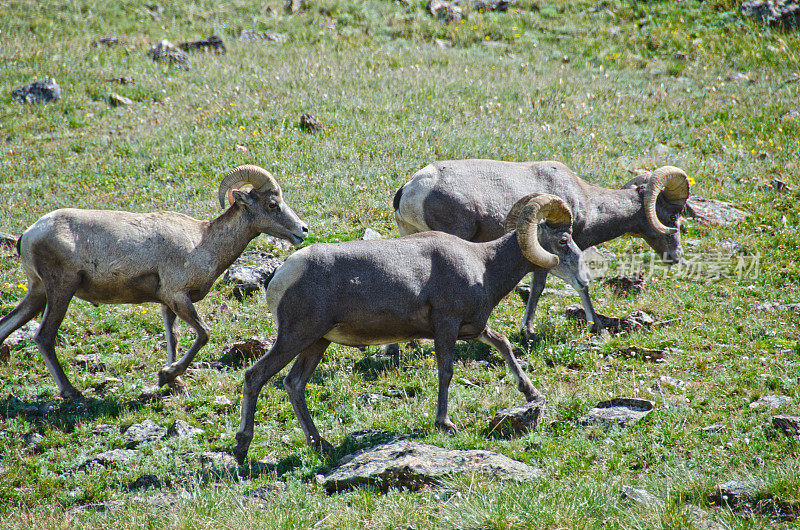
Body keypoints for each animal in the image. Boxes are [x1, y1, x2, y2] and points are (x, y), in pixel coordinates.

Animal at [0, 164, 308, 396]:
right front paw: (166, 376)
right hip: (60, 290)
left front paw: (174, 383)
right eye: (272, 204)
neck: (203, 242)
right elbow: (204, 334)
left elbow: (174, 338)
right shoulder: (177, 296)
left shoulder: (167, 304)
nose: (303, 230)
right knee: (44, 336)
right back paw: (71, 392)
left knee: (8, 327)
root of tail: (29, 234)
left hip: (38, 293)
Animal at [231, 192, 588, 460]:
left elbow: (502, 342)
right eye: (564, 239)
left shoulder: (472, 328)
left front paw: (531, 393)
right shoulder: (446, 325)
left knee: (294, 384)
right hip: (296, 337)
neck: (484, 265)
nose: (585, 279)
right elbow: (446, 371)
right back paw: (241, 448)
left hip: (317, 342)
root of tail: (281, 276)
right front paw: (445, 424)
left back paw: (322, 445)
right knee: (255, 377)